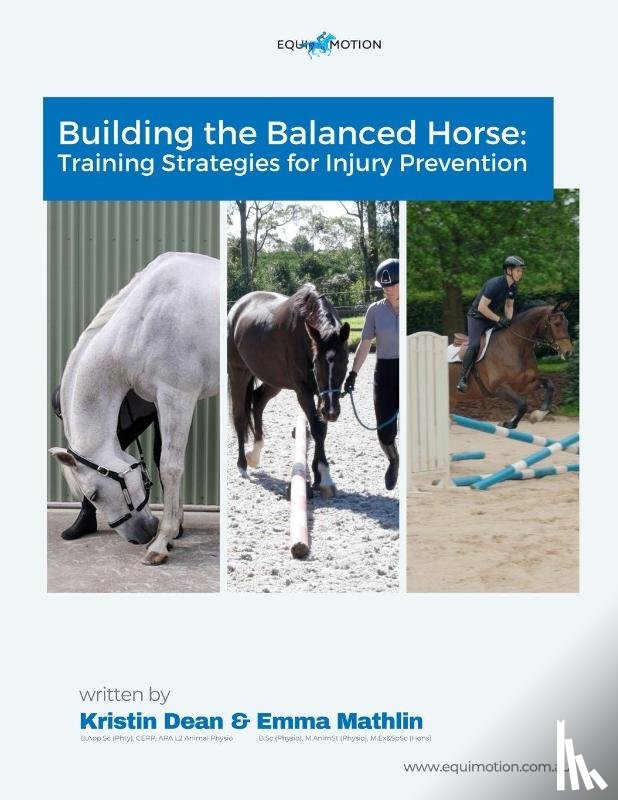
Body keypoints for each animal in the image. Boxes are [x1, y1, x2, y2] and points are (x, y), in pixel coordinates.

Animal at [49, 252, 220, 566]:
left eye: (93, 494)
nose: (141, 536)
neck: (144, 320)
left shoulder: (177, 396)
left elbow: (170, 466)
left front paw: (161, 543)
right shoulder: (161, 401)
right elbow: (163, 459)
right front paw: (174, 530)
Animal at [227, 284, 350, 496]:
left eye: (345, 361)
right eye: (317, 364)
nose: (332, 411)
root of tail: (237, 308)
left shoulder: (321, 395)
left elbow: (321, 428)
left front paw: (319, 475)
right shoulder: (304, 392)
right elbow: (316, 428)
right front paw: (325, 477)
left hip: (273, 380)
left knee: (257, 402)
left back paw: (255, 454)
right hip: (238, 374)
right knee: (239, 417)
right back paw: (242, 465)